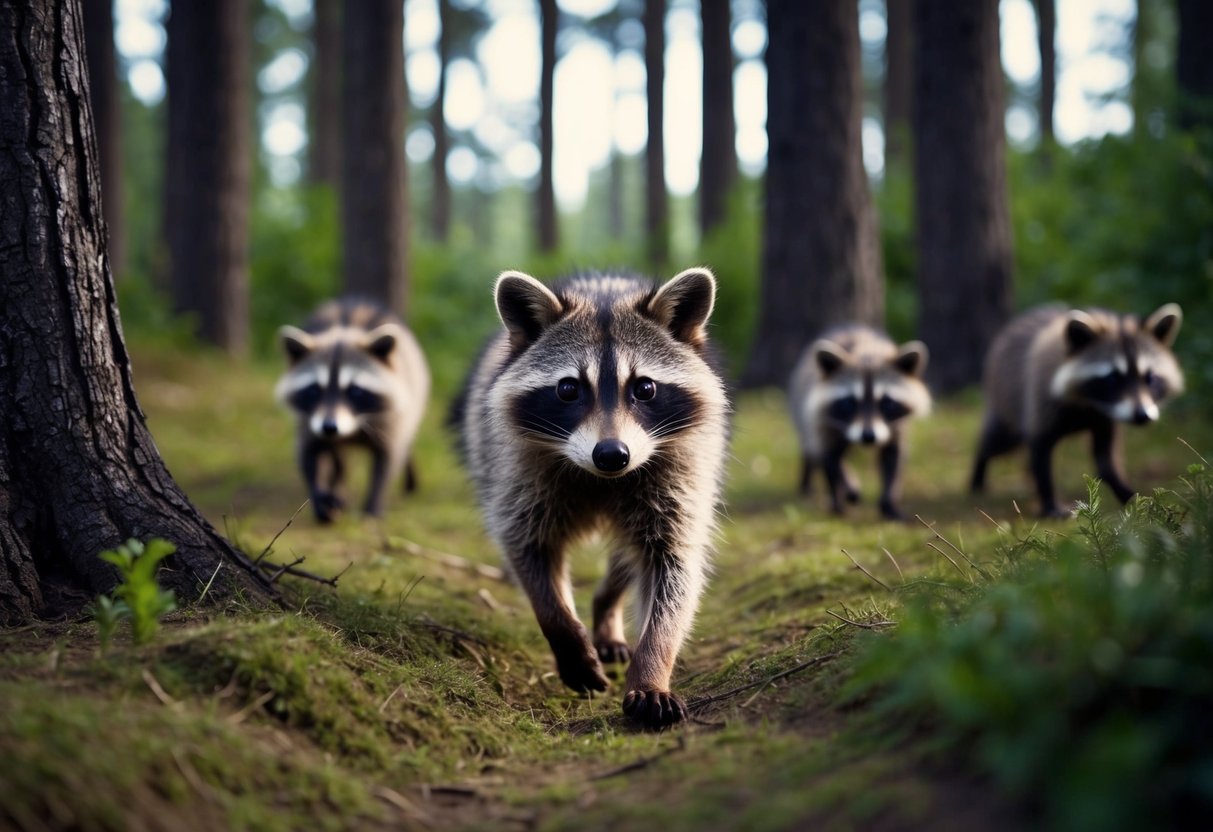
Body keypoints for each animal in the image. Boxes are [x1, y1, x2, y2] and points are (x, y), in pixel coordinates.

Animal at [275, 299, 430, 523]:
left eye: (355, 390)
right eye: (314, 390)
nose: (329, 427)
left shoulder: (390, 419)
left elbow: (387, 458)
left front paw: (374, 502)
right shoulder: (309, 420)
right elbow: (309, 454)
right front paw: (320, 496)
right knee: (338, 459)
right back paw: (337, 483)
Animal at [451, 268, 729, 729]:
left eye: (645, 388)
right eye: (568, 389)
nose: (612, 454)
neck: (602, 478)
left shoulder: (681, 474)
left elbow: (673, 569)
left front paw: (652, 667)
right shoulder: (517, 475)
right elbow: (530, 552)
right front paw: (566, 636)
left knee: (629, 557)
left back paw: (607, 607)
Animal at [788, 326, 931, 520]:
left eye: (886, 402)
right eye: (849, 402)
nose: (868, 436)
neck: (866, 352)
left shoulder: (896, 425)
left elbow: (893, 458)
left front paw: (889, 503)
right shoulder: (823, 420)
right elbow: (830, 457)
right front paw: (842, 491)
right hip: (803, 413)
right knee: (815, 452)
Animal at [970, 303, 1183, 517]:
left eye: (1150, 378)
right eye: (1112, 378)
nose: (1142, 415)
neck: (1090, 404)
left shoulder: (1105, 419)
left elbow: (1105, 460)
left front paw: (1127, 493)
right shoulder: (1041, 398)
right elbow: (1041, 452)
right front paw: (1049, 501)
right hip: (1006, 402)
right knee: (995, 442)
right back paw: (978, 472)